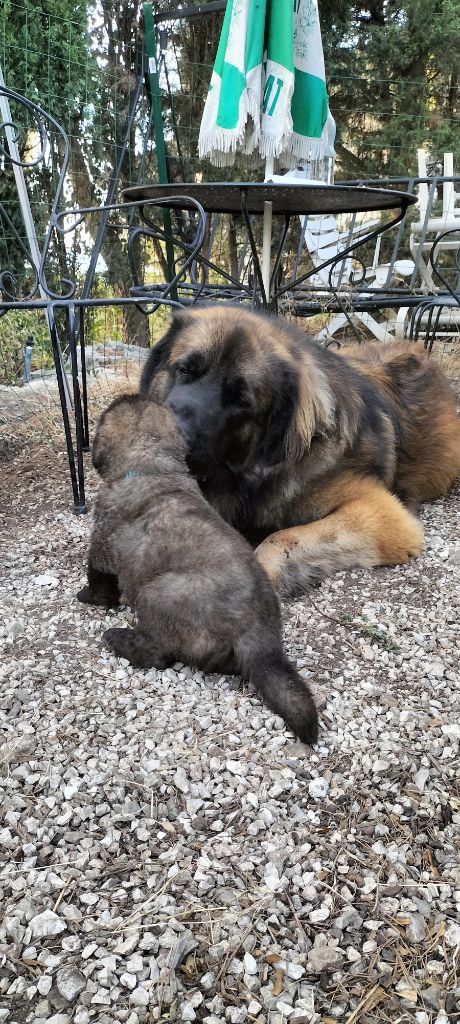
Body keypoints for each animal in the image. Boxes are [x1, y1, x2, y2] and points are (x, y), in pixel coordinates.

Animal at [76, 393, 317, 745]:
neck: (150, 467)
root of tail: (258, 634)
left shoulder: (101, 545)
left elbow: (99, 583)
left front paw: (86, 596)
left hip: (157, 593)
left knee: (159, 654)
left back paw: (119, 639)